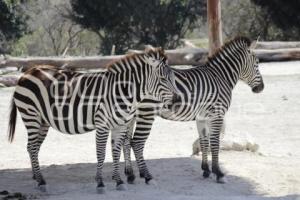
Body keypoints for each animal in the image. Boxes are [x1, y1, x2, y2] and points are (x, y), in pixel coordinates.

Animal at [7, 48, 180, 192]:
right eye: (163, 79)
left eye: (173, 78)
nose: (178, 100)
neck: (124, 91)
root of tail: (28, 72)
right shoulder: (102, 124)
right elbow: (101, 153)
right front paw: (100, 183)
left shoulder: (120, 125)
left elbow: (115, 152)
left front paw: (119, 181)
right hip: (31, 115)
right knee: (32, 148)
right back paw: (41, 182)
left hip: (42, 121)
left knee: (33, 147)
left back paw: (37, 178)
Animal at [119, 36, 264, 184]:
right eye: (257, 63)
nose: (261, 88)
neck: (220, 77)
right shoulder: (216, 115)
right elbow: (215, 143)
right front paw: (218, 173)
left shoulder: (202, 117)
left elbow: (204, 141)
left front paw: (206, 170)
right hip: (147, 113)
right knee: (136, 142)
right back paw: (146, 176)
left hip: (131, 115)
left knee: (126, 142)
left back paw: (130, 175)